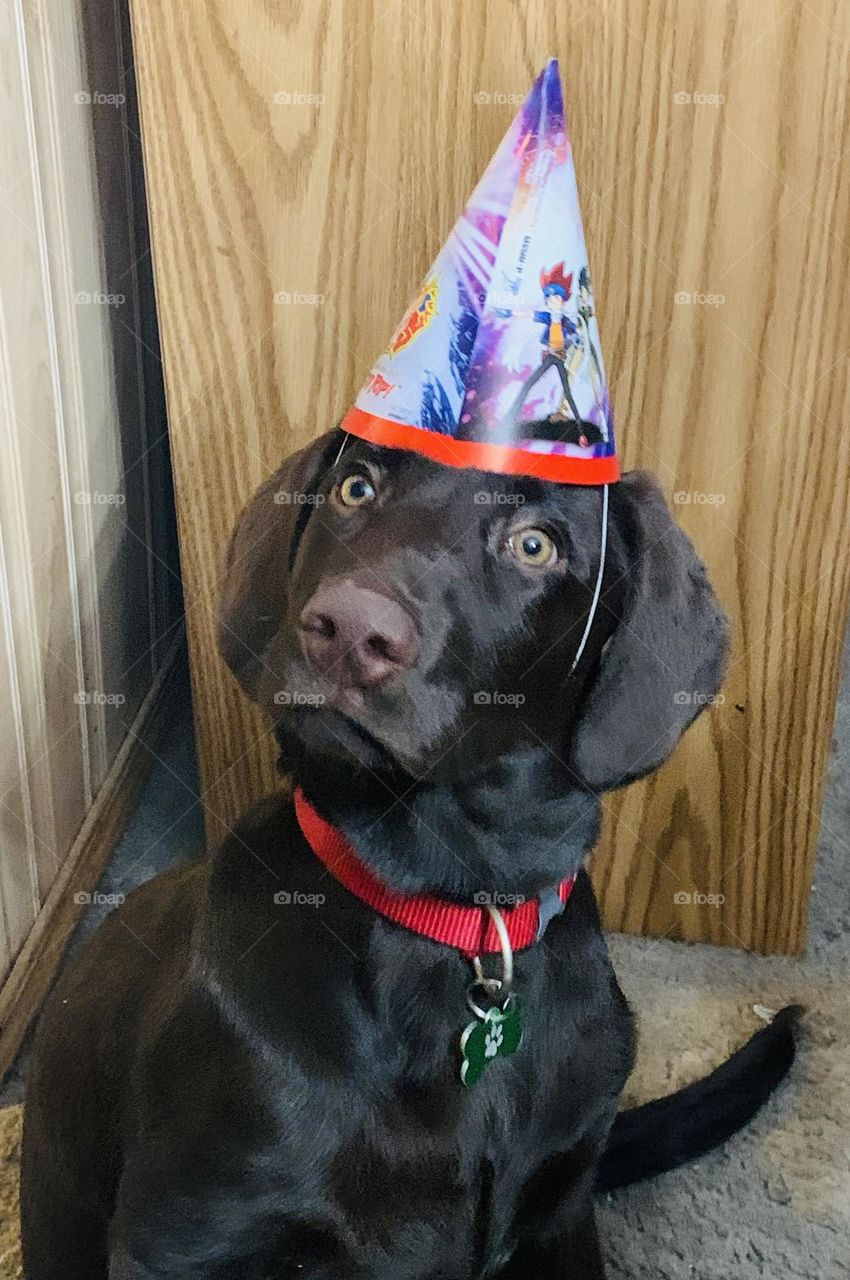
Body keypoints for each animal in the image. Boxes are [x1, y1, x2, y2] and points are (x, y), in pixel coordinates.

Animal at [21, 432, 803, 1280]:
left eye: (536, 544)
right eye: (355, 488)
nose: (347, 630)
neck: (452, 912)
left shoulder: (562, 1213)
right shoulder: (184, 1237)